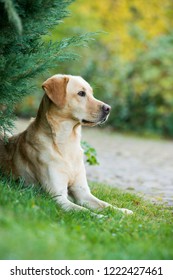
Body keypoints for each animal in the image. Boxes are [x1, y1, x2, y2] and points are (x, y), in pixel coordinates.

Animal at [0, 74, 132, 214]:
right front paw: (101, 217)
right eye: (81, 93)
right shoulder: (58, 197)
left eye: (92, 93)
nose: (108, 108)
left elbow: (105, 204)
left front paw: (122, 211)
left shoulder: (83, 192)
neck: (67, 143)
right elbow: (84, 211)